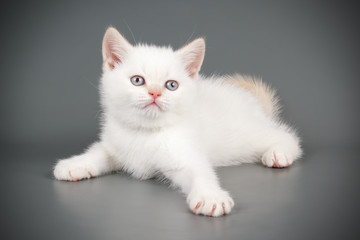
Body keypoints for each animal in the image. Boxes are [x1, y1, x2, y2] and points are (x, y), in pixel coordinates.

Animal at [52, 27, 300, 217]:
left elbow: (200, 172)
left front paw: (210, 197)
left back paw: (278, 153)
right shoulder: (116, 143)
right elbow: (99, 152)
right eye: (137, 81)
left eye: (171, 85)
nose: (154, 93)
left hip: (246, 134)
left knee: (286, 136)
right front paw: (75, 164)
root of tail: (251, 100)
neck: (146, 132)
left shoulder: (186, 153)